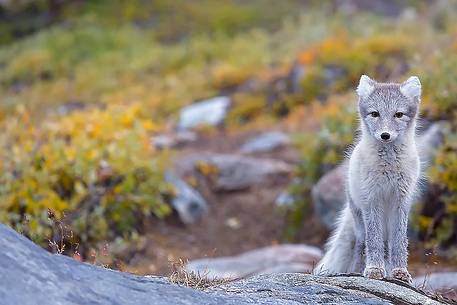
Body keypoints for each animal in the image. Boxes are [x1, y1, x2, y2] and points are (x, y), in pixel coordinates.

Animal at [314, 74, 420, 282]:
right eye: (375, 114)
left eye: (398, 114)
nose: (385, 135)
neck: (389, 166)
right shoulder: (372, 201)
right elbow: (374, 242)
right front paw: (374, 270)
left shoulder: (401, 201)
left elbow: (399, 242)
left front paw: (400, 272)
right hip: (359, 219)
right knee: (362, 246)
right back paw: (356, 270)